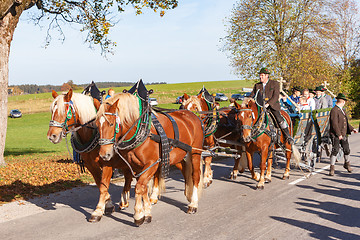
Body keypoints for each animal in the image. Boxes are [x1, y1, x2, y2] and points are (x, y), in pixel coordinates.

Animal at [47, 89, 133, 222]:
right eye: (52, 111)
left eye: (64, 111)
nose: (52, 136)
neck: (93, 133)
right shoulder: (90, 165)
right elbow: (100, 184)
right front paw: (108, 204)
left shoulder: (107, 163)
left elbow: (103, 185)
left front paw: (98, 211)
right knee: (129, 175)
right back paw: (124, 200)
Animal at [95, 93, 204, 226]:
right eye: (96, 125)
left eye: (111, 124)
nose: (104, 155)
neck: (141, 131)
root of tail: (192, 114)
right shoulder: (136, 165)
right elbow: (143, 187)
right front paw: (146, 212)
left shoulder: (151, 164)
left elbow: (139, 187)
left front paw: (138, 214)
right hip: (177, 156)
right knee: (185, 170)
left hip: (195, 152)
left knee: (195, 175)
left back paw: (193, 204)